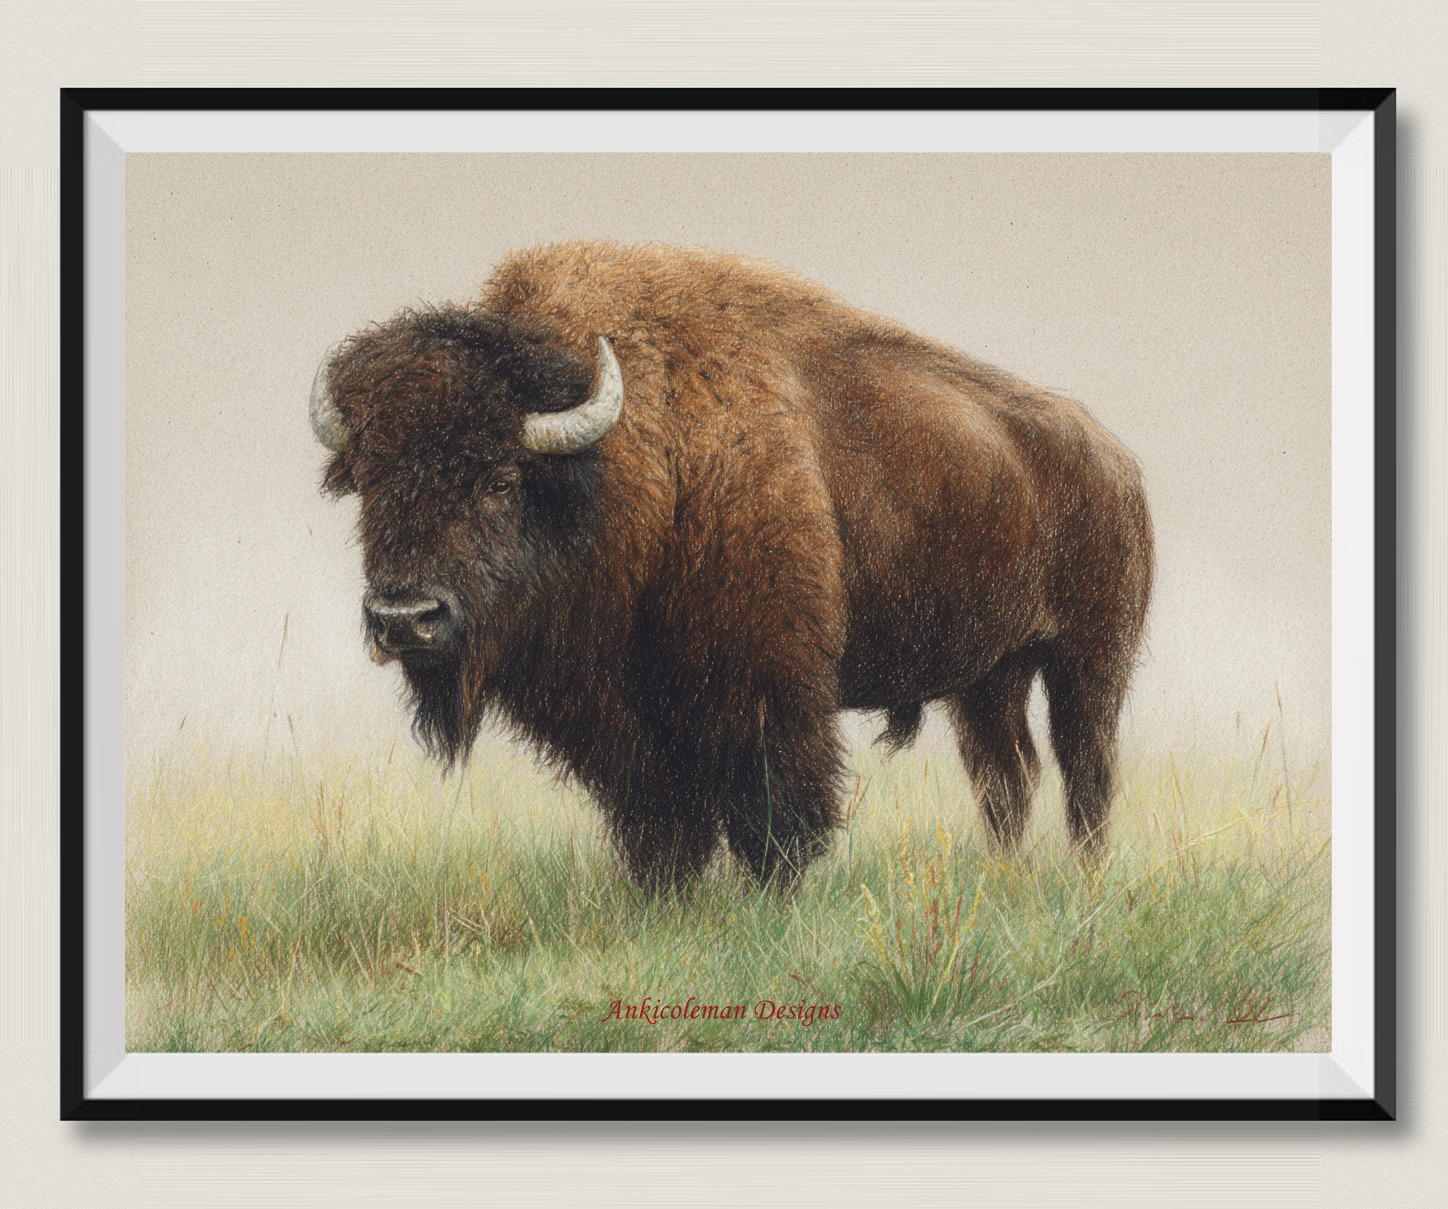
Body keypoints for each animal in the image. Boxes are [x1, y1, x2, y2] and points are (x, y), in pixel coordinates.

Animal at [310, 241, 1153, 891]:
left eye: (503, 480)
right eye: (369, 483)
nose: (404, 617)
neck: (633, 457)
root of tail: (1113, 457)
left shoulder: (765, 687)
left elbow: (774, 804)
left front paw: (776, 892)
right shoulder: (623, 717)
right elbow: (657, 811)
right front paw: (664, 891)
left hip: (1088, 657)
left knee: (1086, 769)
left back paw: (1085, 879)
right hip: (986, 676)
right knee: (1006, 776)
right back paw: (1004, 878)